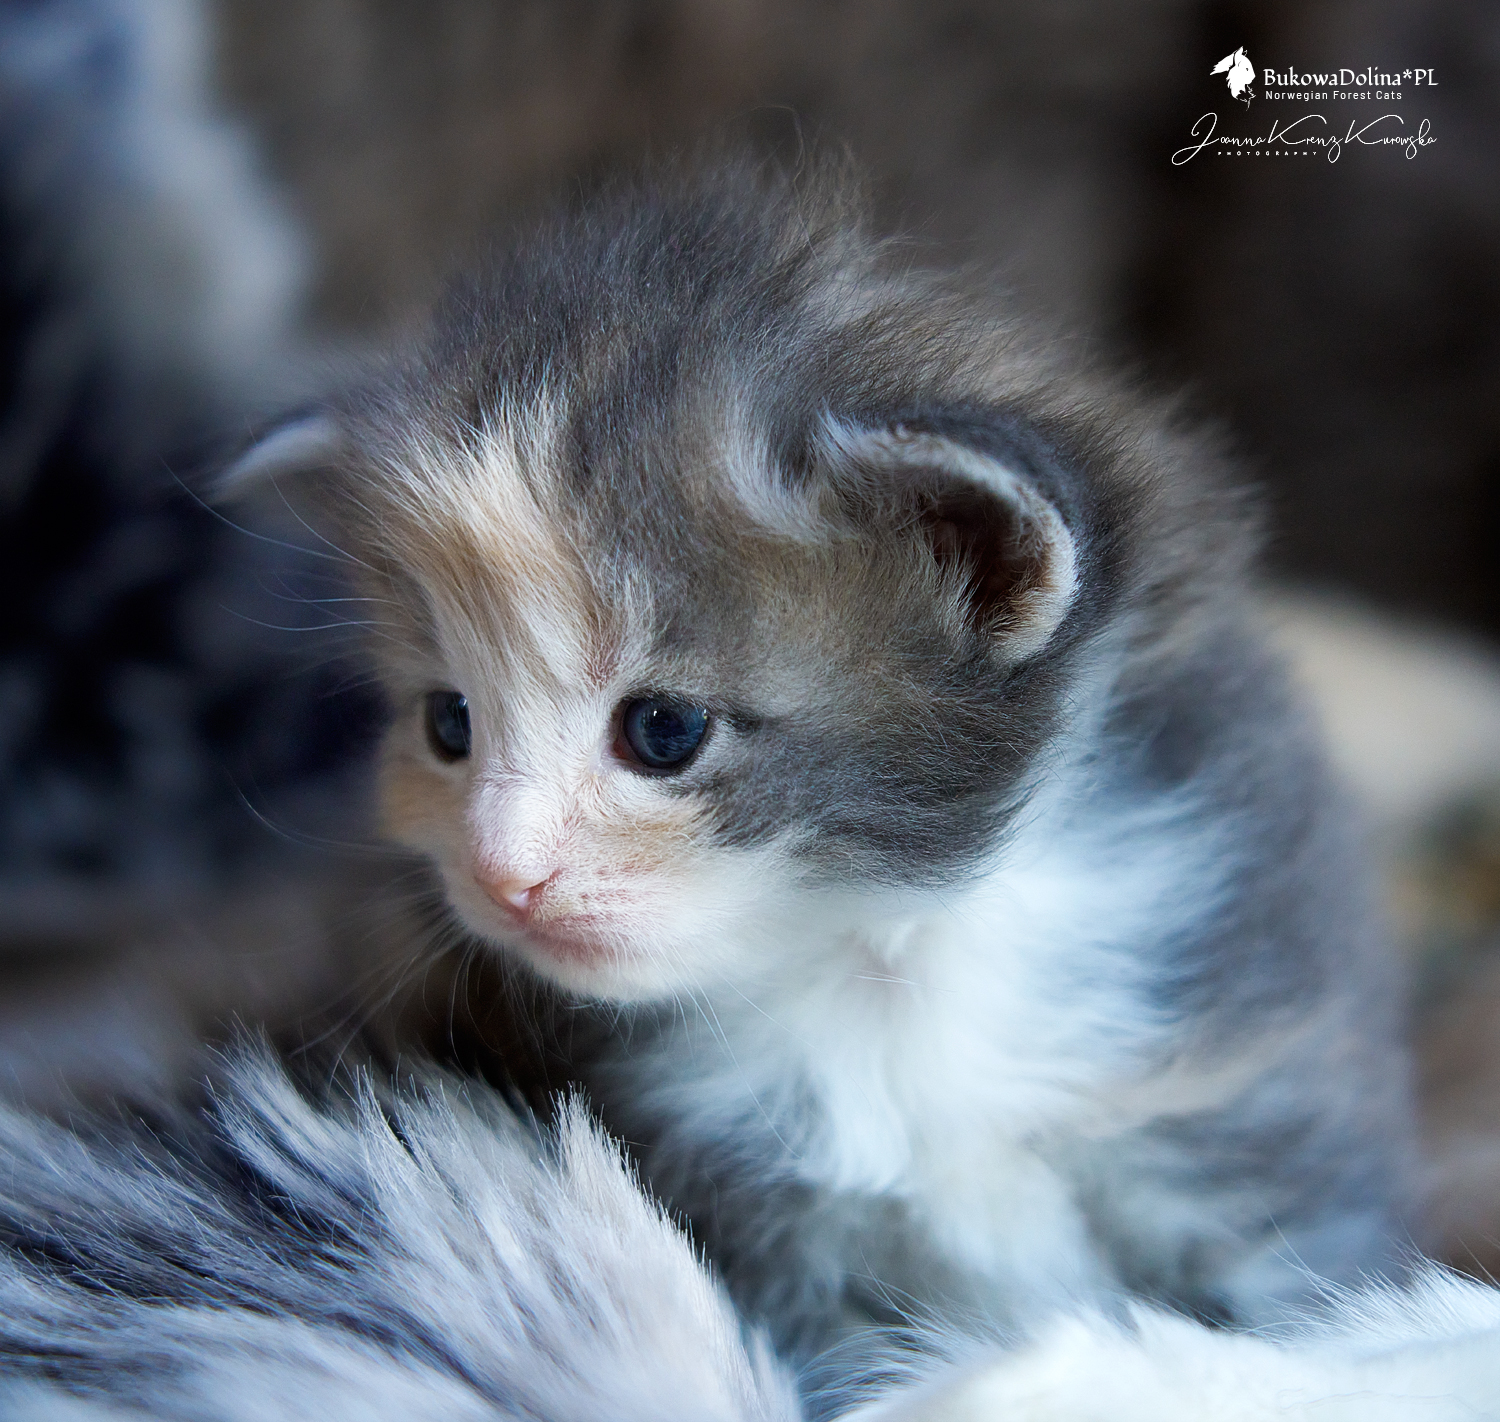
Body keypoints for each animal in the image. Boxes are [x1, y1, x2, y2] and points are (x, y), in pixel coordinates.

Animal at [221, 154, 1421, 1404]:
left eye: (662, 730)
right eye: (449, 722)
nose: (503, 879)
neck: (882, 968)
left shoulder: (1253, 1086)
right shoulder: (757, 1222)